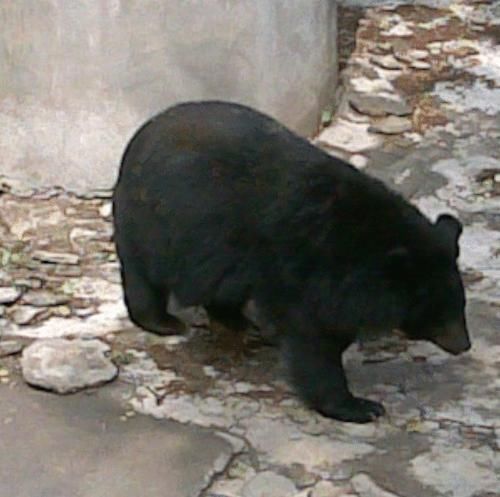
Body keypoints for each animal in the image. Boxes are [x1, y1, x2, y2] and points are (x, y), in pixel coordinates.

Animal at [111, 100, 470, 422]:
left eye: (459, 304)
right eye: (437, 309)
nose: (464, 345)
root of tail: (134, 143)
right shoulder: (303, 268)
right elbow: (313, 339)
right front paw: (360, 406)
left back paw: (243, 324)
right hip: (153, 224)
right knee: (144, 277)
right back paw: (165, 322)